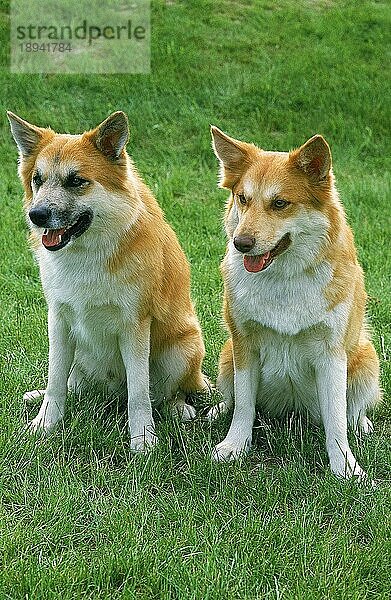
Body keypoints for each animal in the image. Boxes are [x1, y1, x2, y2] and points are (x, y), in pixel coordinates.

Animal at [208, 126, 382, 478]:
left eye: (280, 203)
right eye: (242, 198)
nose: (241, 243)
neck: (284, 277)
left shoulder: (332, 355)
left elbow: (336, 421)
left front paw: (345, 468)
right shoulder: (244, 344)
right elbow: (244, 405)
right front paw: (235, 447)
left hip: (367, 360)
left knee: (353, 411)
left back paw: (362, 424)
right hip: (226, 355)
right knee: (232, 398)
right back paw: (218, 409)